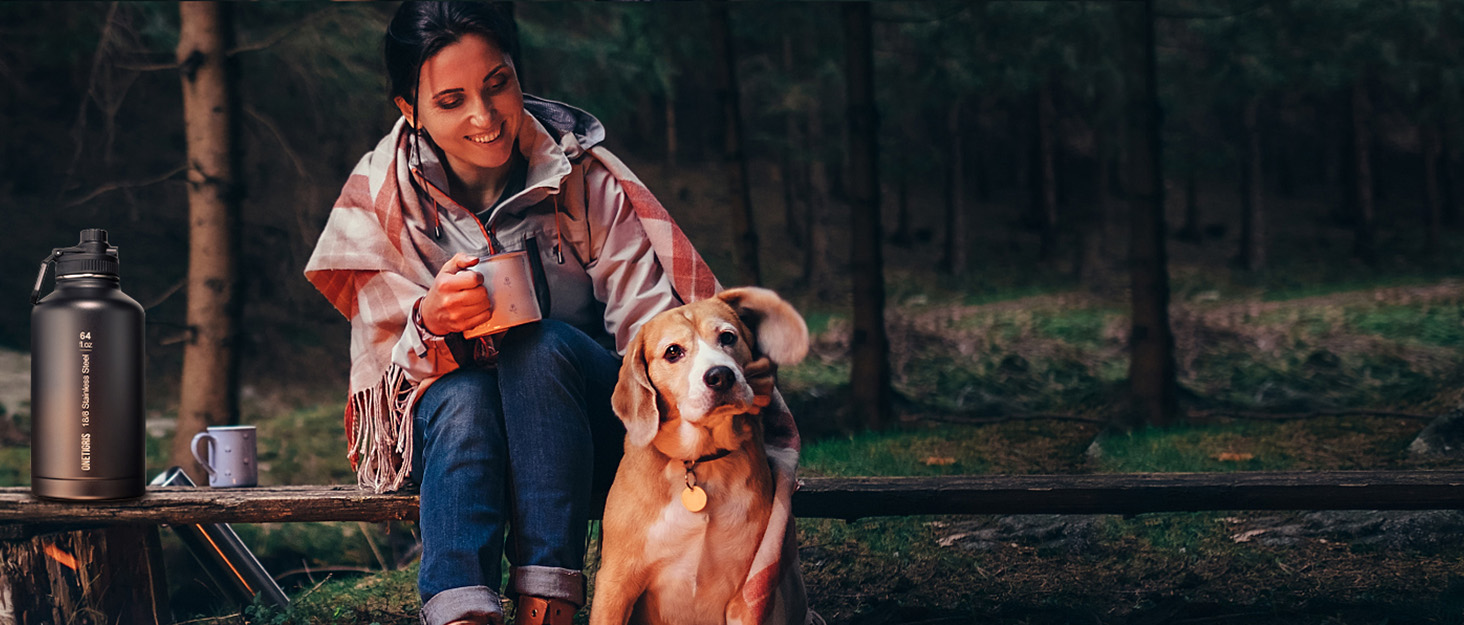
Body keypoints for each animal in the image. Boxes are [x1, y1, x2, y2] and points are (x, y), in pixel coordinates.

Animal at [588, 286, 808, 625]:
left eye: (728, 337)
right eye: (673, 352)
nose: (720, 376)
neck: (699, 462)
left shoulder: (745, 599)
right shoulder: (616, 584)